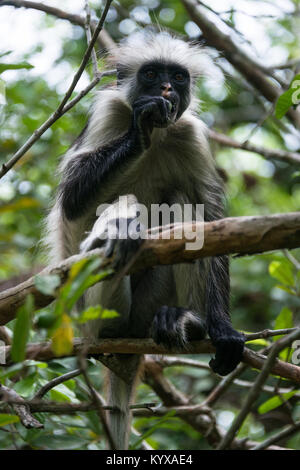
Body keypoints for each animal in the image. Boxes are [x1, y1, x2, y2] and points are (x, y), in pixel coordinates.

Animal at [45, 31, 246, 450]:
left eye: (178, 77)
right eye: (152, 75)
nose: (167, 89)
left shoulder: (190, 134)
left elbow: (212, 221)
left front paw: (222, 329)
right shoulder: (109, 113)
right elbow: (71, 200)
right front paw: (139, 129)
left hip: (146, 308)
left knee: (184, 204)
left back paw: (189, 323)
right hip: (91, 313)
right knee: (124, 203)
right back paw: (121, 237)